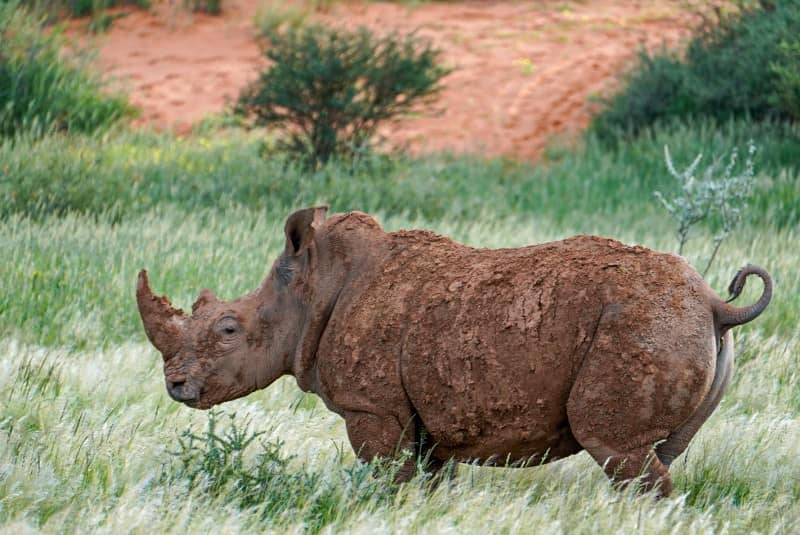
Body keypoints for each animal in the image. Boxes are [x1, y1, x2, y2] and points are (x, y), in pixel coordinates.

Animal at [134, 207, 772, 496]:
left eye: (228, 329)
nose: (176, 387)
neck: (310, 289)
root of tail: (715, 302)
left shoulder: (373, 408)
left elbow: (387, 480)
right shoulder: (426, 417)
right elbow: (427, 483)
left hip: (643, 322)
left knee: (615, 447)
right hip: (670, 323)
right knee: (650, 455)